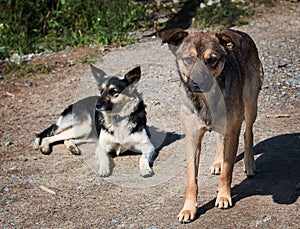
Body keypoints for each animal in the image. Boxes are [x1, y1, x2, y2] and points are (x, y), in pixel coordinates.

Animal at [162, 27, 262, 223]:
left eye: (212, 60)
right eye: (189, 59)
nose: (197, 83)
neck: (206, 99)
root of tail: (239, 32)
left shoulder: (232, 131)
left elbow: (228, 171)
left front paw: (223, 196)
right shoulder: (192, 138)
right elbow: (191, 180)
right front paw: (188, 208)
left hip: (250, 103)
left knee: (248, 132)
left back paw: (249, 163)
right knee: (219, 137)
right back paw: (217, 162)